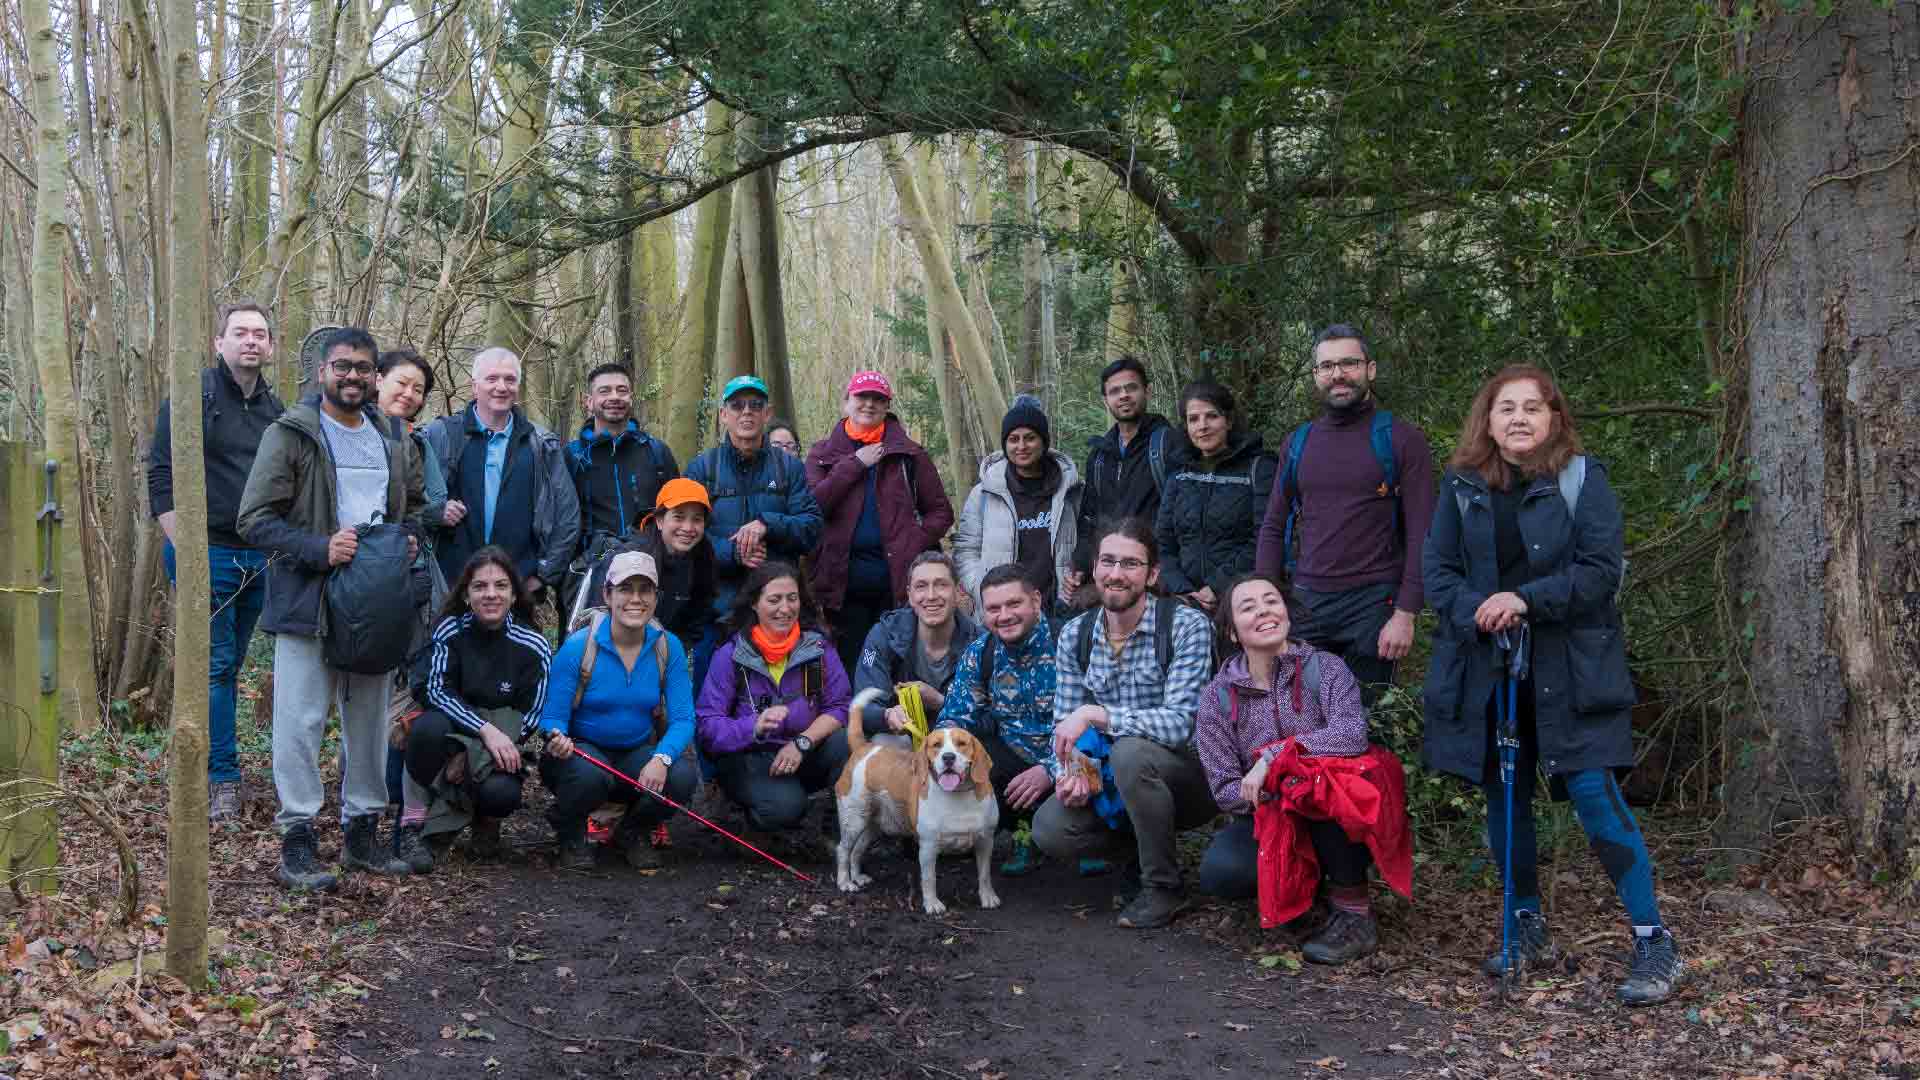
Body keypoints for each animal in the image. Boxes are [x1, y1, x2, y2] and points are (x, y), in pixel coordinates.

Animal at [833, 687, 998, 907]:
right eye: (936, 745)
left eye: (961, 743)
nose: (948, 757)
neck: (958, 794)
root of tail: (864, 748)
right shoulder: (928, 846)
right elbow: (929, 879)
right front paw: (932, 904)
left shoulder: (985, 841)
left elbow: (985, 874)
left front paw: (987, 897)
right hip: (853, 821)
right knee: (843, 850)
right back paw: (845, 882)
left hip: (871, 826)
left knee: (856, 850)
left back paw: (857, 877)